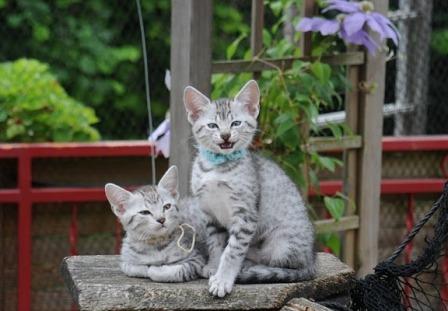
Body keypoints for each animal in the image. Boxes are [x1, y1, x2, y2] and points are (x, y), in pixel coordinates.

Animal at [182, 80, 316, 298]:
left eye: (236, 123)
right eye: (212, 125)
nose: (225, 135)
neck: (217, 167)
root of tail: (312, 259)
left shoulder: (245, 214)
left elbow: (232, 250)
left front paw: (223, 279)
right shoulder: (209, 213)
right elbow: (216, 244)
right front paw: (214, 266)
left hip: (281, 244)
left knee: (285, 265)